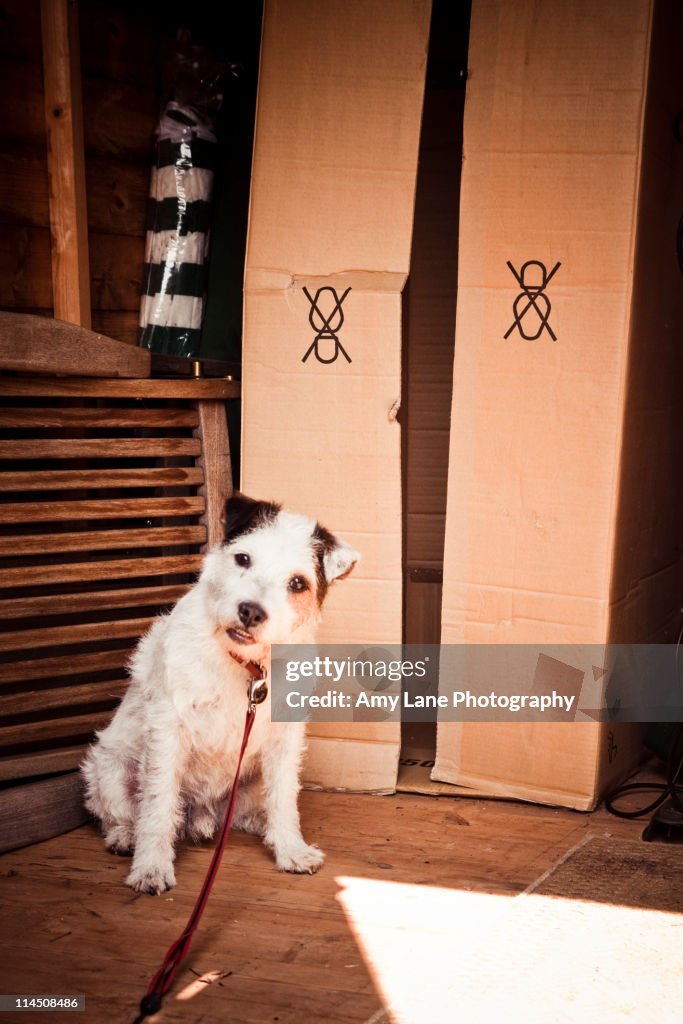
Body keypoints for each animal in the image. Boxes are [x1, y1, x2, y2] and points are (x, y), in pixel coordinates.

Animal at [80, 495, 358, 897]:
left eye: (297, 583)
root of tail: (200, 814)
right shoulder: (168, 731)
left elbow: (283, 798)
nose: (251, 611)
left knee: (247, 813)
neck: (247, 666)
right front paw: (151, 867)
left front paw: (290, 849)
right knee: (120, 814)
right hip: (110, 770)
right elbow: (158, 805)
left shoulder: (284, 741)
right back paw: (126, 837)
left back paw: (261, 827)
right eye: (243, 558)